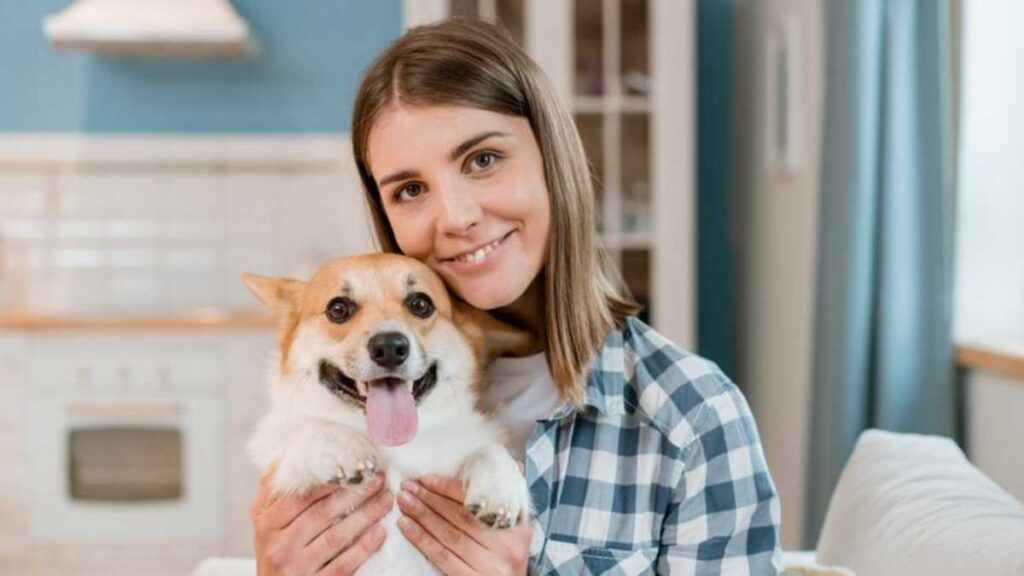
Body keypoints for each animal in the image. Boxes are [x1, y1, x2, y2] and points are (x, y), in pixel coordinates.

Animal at [242, 253, 536, 569]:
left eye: (420, 304)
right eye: (338, 309)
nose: (390, 348)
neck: (395, 446)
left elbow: (488, 449)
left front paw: (501, 489)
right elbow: (310, 429)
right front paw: (345, 448)